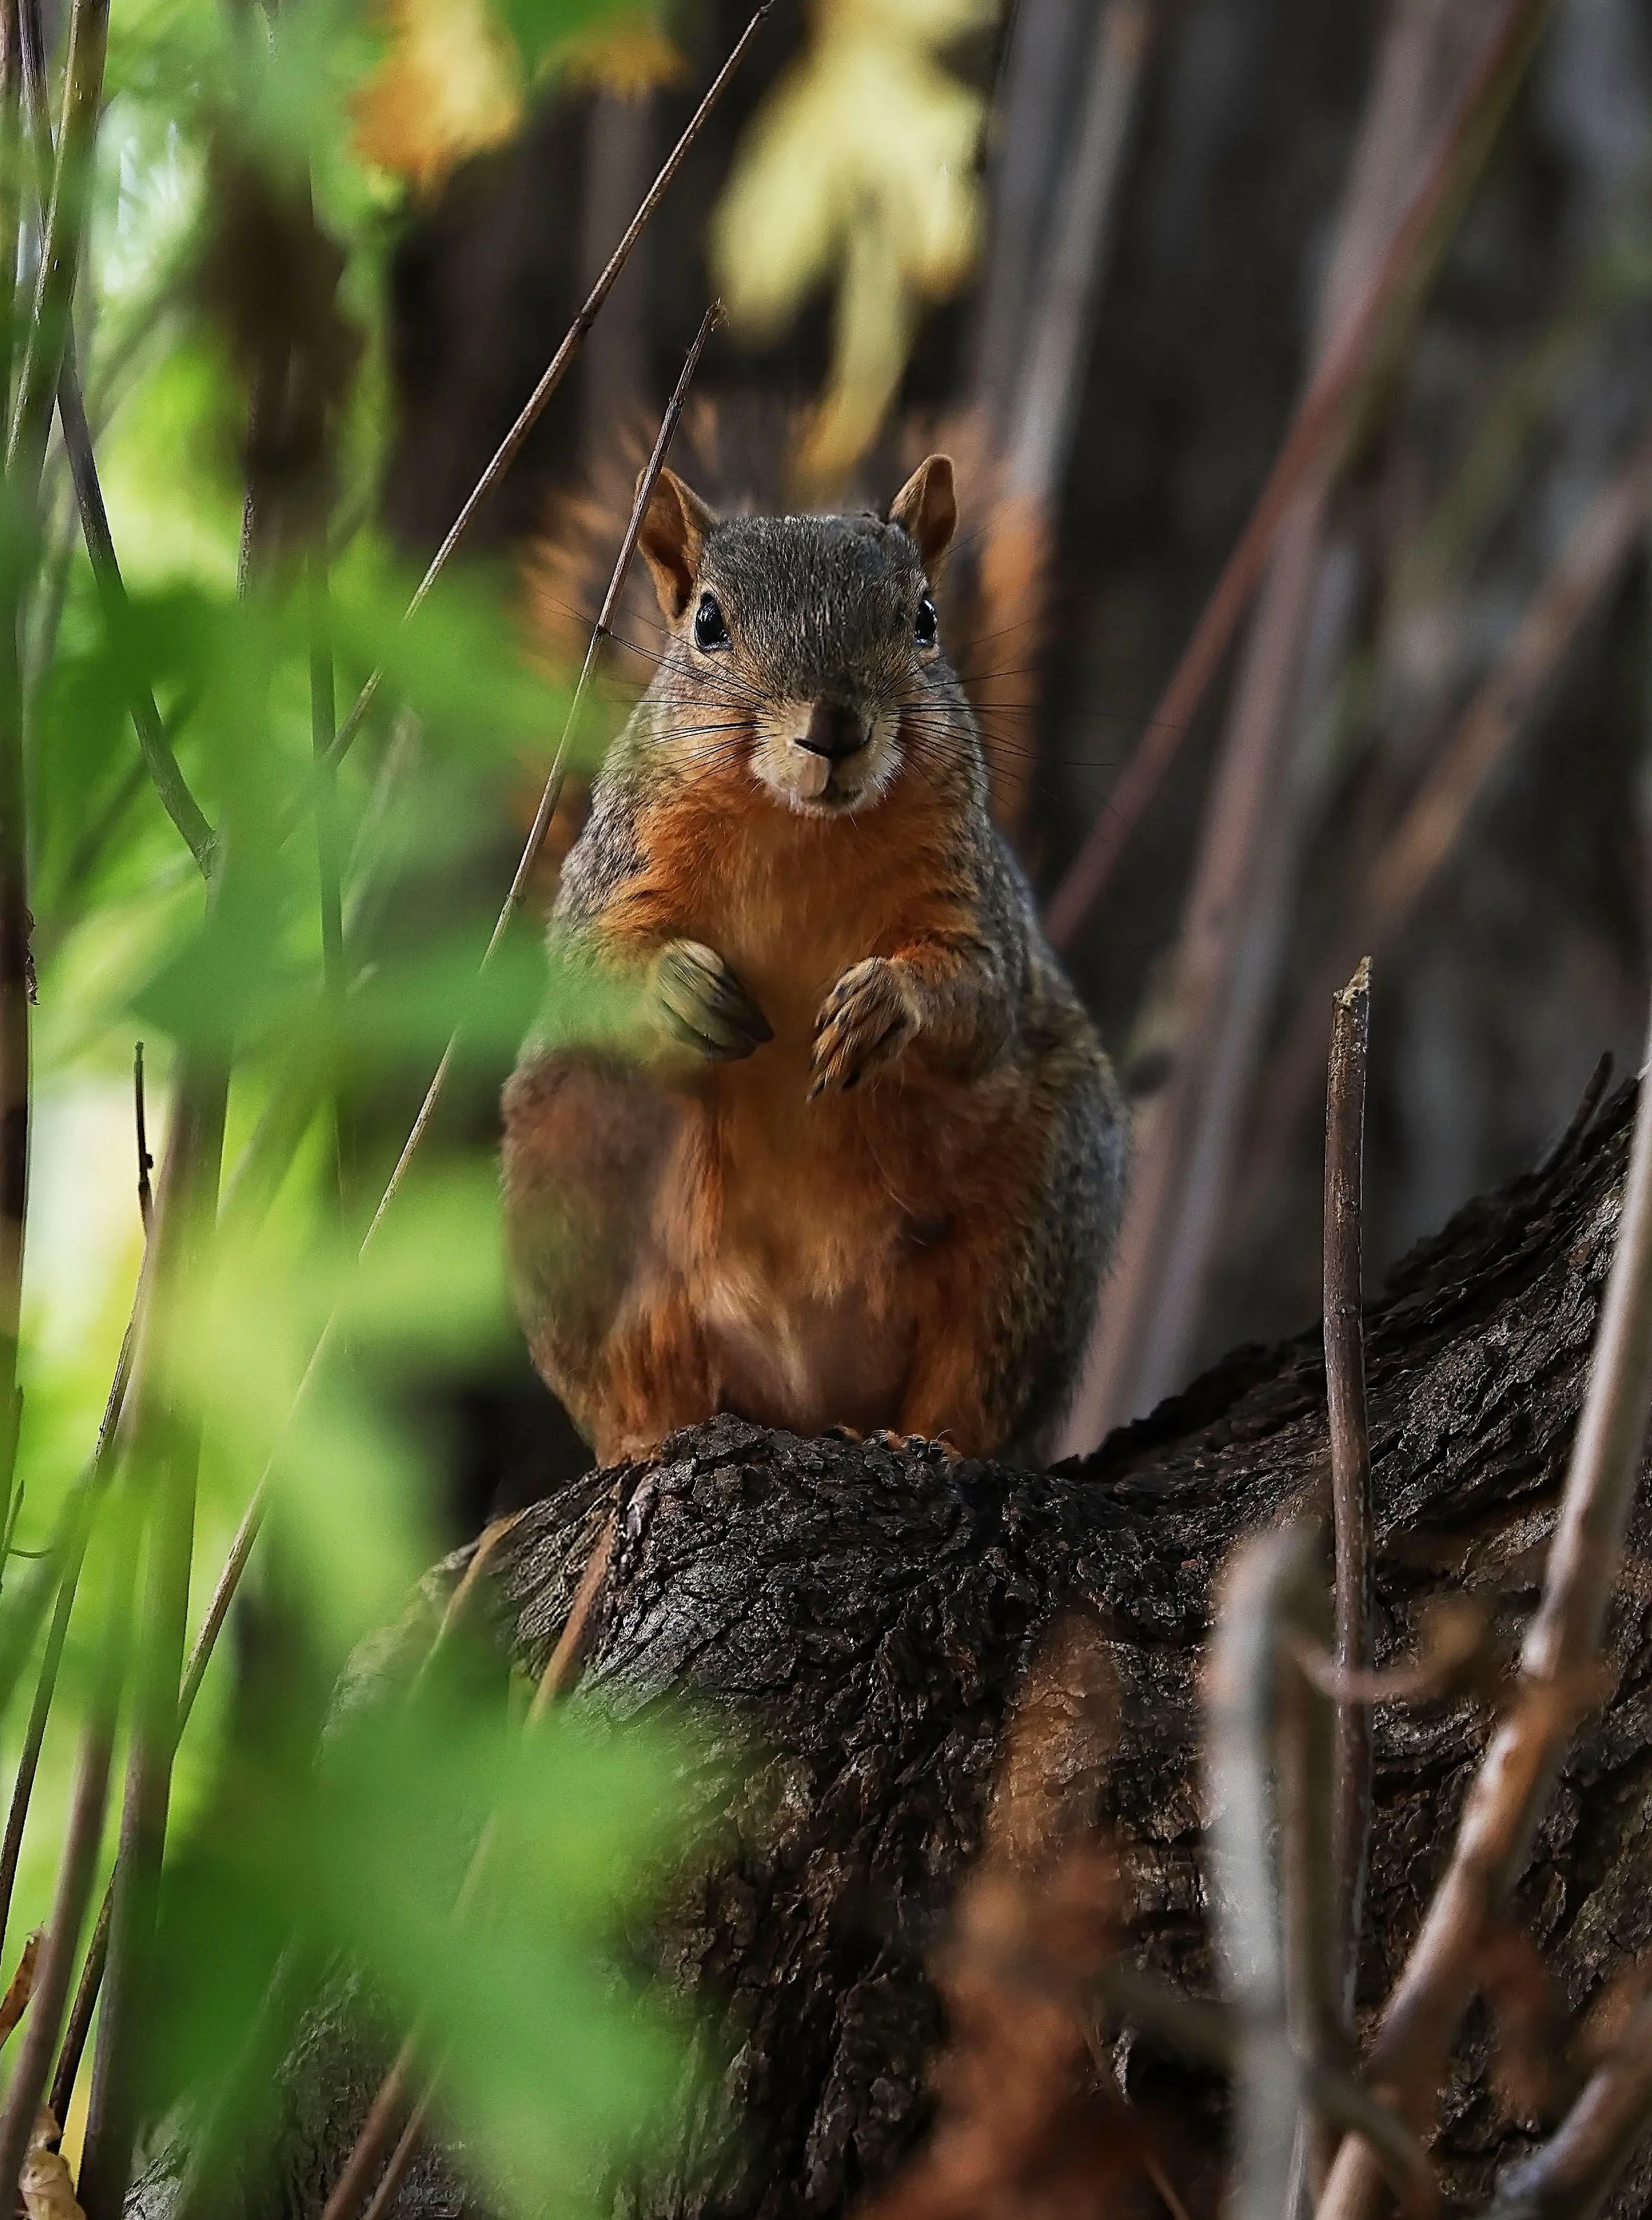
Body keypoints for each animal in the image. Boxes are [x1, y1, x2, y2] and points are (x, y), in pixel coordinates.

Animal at [501, 452, 1128, 1468]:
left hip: (1039, 1210)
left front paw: (884, 1004)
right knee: (636, 1365)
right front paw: (679, 992)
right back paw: (644, 1436)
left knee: (977, 1370)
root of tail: (804, 1386)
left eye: (924, 619)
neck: (798, 828)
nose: (834, 724)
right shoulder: (614, 871)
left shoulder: (974, 901)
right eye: (707, 623)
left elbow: (982, 998)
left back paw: (922, 1439)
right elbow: (590, 967)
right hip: (572, 1176)